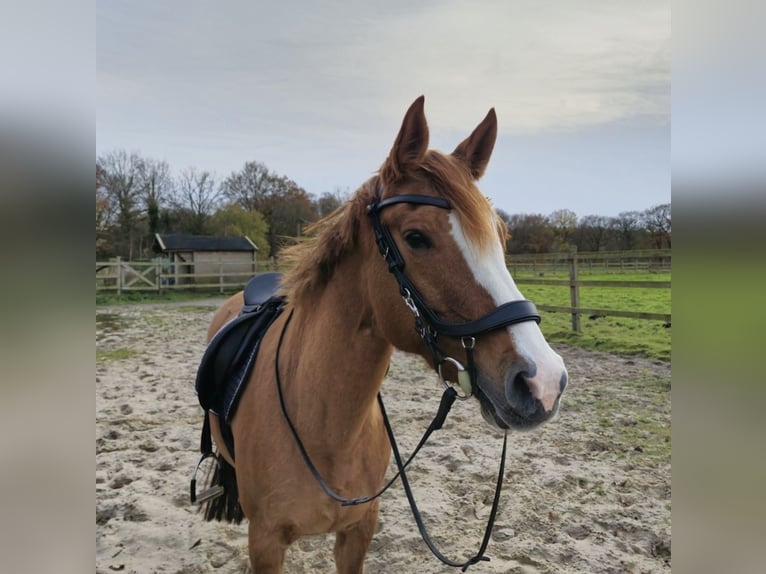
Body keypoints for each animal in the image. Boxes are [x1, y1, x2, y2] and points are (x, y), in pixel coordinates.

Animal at [198, 97, 568, 572]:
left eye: (500, 237)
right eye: (416, 237)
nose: (544, 381)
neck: (324, 424)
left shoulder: (357, 534)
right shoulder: (265, 543)